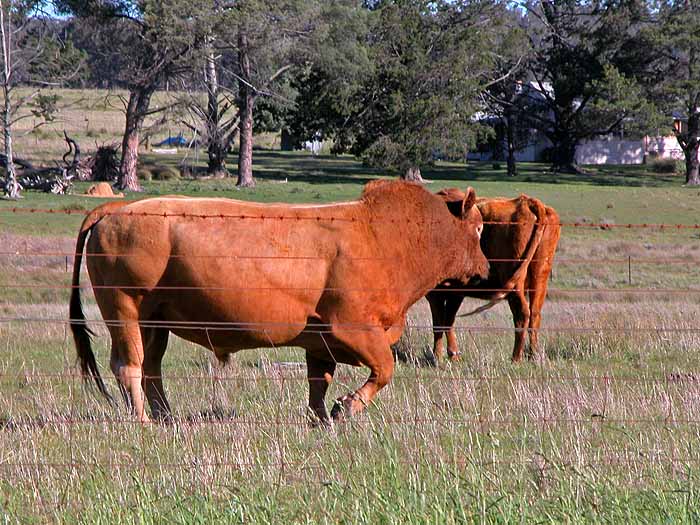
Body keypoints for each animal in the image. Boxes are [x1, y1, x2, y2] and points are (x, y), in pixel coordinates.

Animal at [70, 180, 489, 424]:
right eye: (479, 227)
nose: (486, 268)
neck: (383, 236)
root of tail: (116, 210)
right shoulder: (353, 328)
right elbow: (384, 369)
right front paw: (346, 407)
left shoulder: (320, 342)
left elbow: (319, 381)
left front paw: (321, 418)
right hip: (125, 312)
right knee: (129, 366)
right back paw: (143, 421)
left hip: (155, 322)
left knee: (151, 368)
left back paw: (165, 417)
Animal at [426, 191, 560, 362]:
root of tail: (527, 202)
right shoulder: (456, 292)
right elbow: (448, 320)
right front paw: (453, 354)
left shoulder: (435, 292)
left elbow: (439, 324)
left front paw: (437, 356)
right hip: (540, 276)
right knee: (535, 313)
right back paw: (533, 354)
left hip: (514, 281)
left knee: (522, 313)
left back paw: (516, 357)